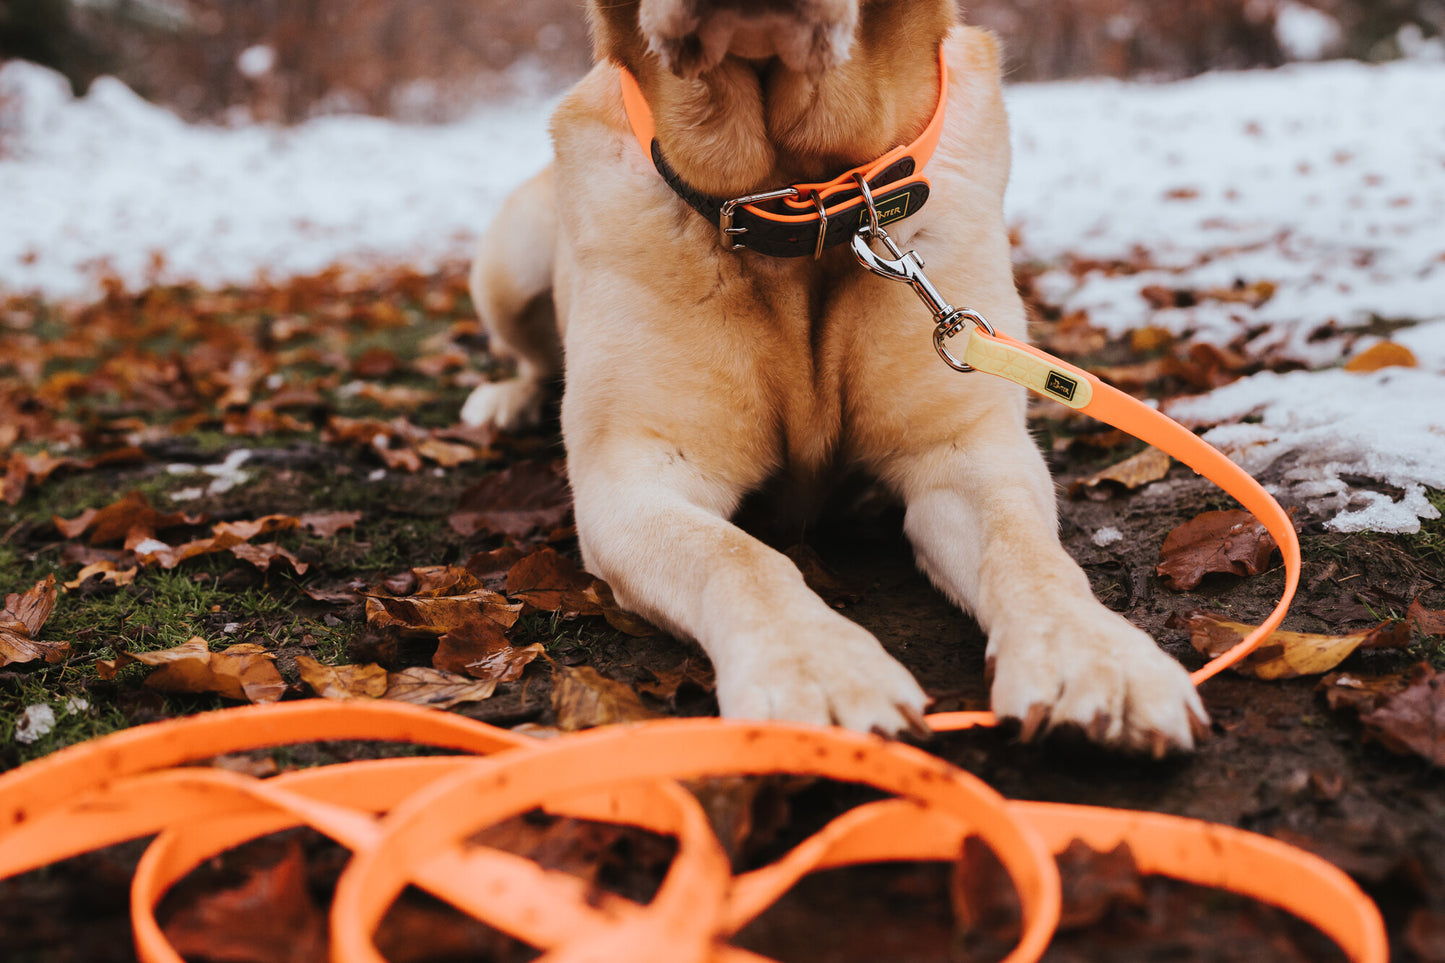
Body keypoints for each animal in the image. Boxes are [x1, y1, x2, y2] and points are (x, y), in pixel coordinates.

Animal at [462, 0, 1208, 751]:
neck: (802, 207)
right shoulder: (632, 474)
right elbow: (738, 557)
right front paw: (817, 669)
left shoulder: (964, 448)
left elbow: (1024, 546)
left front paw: (1093, 653)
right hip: (508, 262)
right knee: (532, 355)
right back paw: (505, 399)